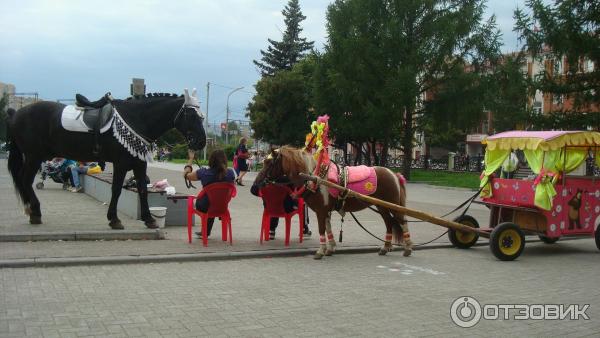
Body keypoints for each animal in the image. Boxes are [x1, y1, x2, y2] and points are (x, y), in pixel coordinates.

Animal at [5, 88, 209, 228]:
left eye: (202, 116)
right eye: (191, 115)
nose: (201, 142)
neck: (136, 118)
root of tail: (16, 113)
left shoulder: (139, 164)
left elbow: (143, 190)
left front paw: (149, 219)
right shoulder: (121, 163)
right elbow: (116, 190)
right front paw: (114, 219)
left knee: (23, 181)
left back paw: (32, 211)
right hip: (33, 157)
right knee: (25, 180)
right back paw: (35, 212)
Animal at [253, 145, 412, 258]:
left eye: (269, 162)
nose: (256, 184)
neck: (314, 177)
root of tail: (394, 174)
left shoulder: (321, 210)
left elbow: (321, 229)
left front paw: (321, 251)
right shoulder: (326, 210)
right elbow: (328, 228)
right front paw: (330, 248)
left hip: (393, 206)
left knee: (402, 222)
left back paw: (408, 248)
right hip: (382, 206)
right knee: (389, 223)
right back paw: (385, 247)